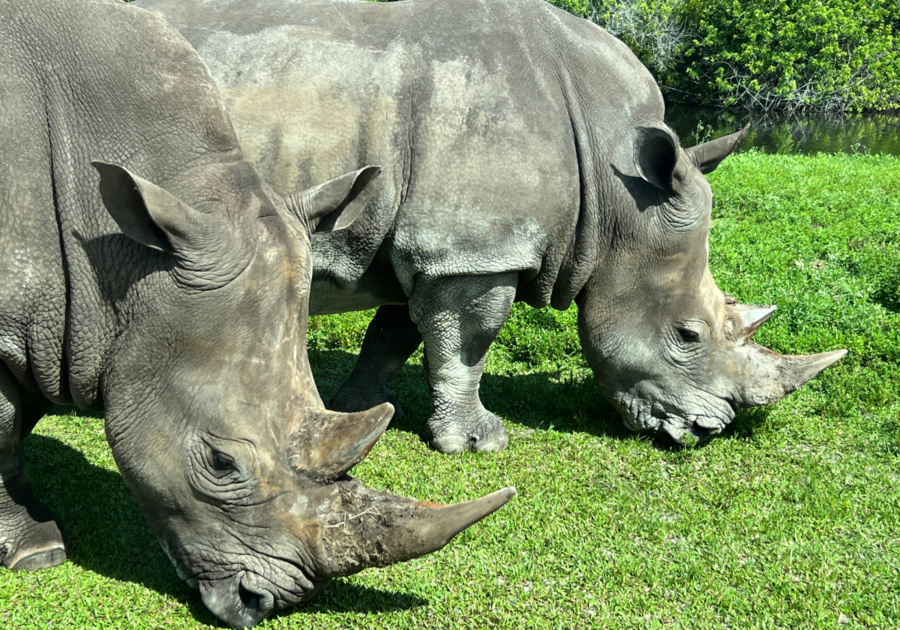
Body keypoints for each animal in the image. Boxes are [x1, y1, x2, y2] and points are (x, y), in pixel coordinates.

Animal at [0, 0, 516, 628]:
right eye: (222, 464)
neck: (124, 266)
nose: (264, 604)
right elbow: (4, 428)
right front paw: (35, 552)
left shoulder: (51, 326)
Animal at [137, 0, 848, 452]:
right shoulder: (475, 250)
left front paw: (353, 408)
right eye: (687, 335)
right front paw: (478, 443)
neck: (615, 187)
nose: (709, 431)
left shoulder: (438, 243)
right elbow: (468, 344)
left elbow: (394, 334)